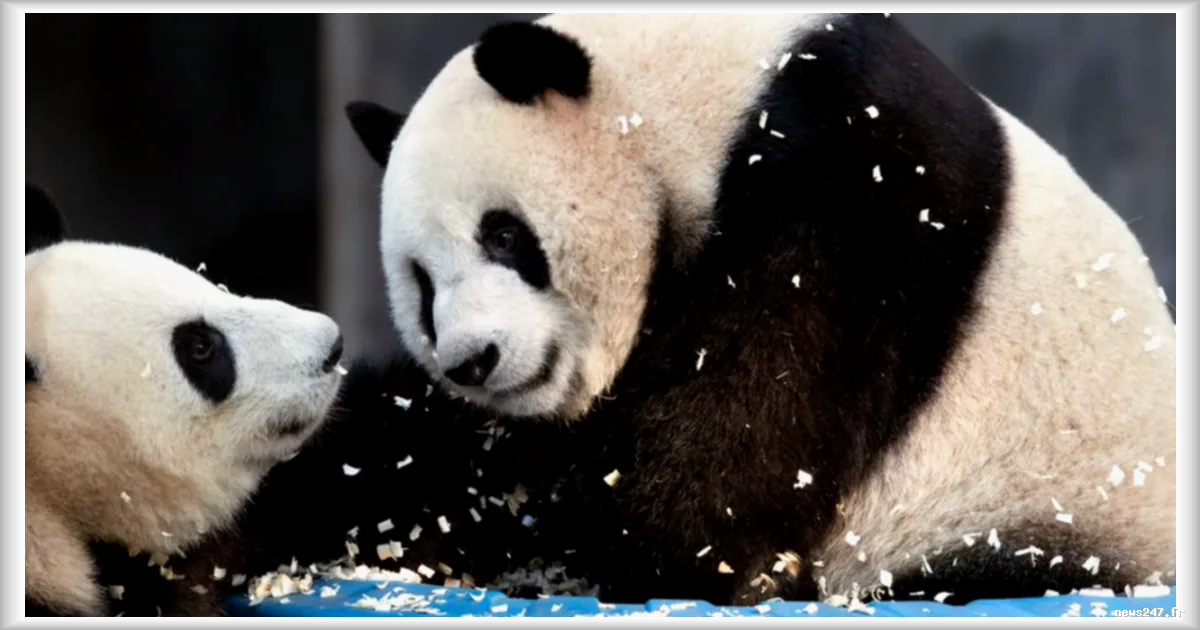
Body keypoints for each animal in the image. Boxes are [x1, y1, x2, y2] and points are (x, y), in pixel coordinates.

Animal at [337, 13, 1175, 607]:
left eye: (505, 235)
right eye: (421, 286)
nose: (472, 361)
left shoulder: (857, 170)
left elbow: (765, 380)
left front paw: (675, 555)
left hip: (1038, 510)